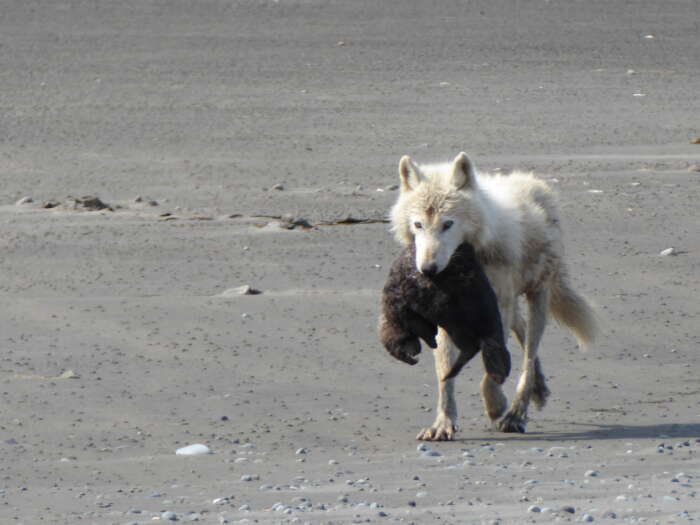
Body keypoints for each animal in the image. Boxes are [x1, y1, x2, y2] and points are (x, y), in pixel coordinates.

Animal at [389, 152, 599, 439]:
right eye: (418, 225)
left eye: (448, 224)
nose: (428, 269)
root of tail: (533, 183)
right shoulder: (446, 318)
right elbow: (445, 374)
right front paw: (443, 423)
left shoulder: (499, 307)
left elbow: (492, 367)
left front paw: (496, 406)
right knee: (522, 335)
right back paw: (539, 390)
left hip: (538, 297)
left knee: (529, 355)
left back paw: (516, 413)